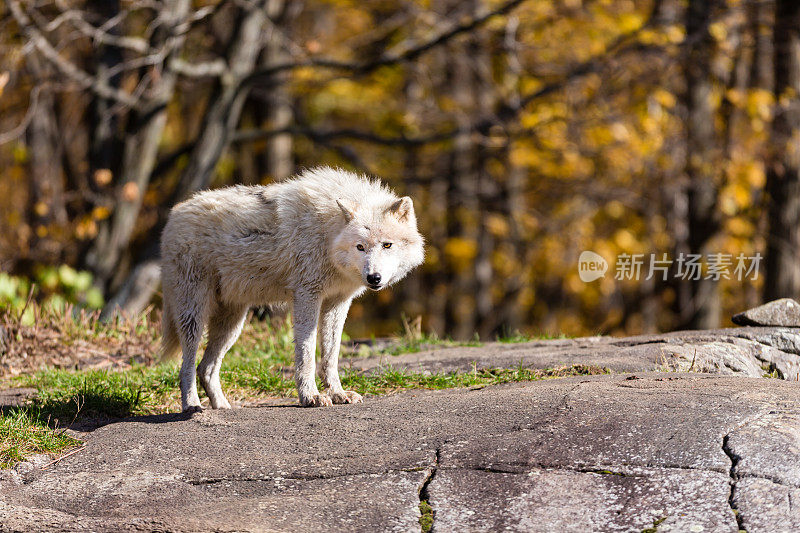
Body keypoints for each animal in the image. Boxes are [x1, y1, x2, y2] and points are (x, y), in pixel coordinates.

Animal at [159, 167, 428, 412]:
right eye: (360, 247)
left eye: (387, 245)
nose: (374, 278)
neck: (328, 233)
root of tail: (173, 215)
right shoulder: (307, 296)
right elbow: (306, 353)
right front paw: (311, 396)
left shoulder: (338, 302)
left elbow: (331, 355)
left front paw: (338, 394)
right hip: (195, 315)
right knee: (186, 366)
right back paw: (192, 406)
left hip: (233, 322)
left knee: (205, 368)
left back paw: (223, 406)